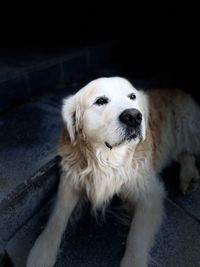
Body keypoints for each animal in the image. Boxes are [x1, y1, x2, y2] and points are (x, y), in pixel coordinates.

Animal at [27, 76, 200, 266]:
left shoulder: (150, 195)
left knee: (187, 152)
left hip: (188, 127)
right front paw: (42, 252)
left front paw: (133, 261)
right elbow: (57, 218)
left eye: (132, 96)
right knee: (184, 154)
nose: (134, 116)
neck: (108, 159)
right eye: (101, 101)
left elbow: (136, 237)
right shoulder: (70, 180)